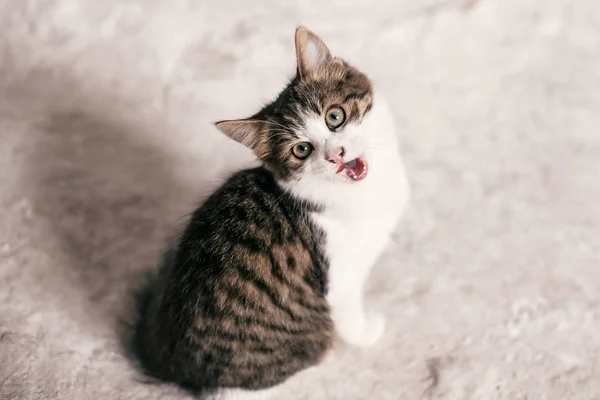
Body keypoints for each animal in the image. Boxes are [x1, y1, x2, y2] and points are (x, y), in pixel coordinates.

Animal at [133, 26, 410, 398]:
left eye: (334, 116)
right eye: (302, 150)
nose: (335, 155)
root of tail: (169, 365)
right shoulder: (340, 278)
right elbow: (351, 316)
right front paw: (368, 332)